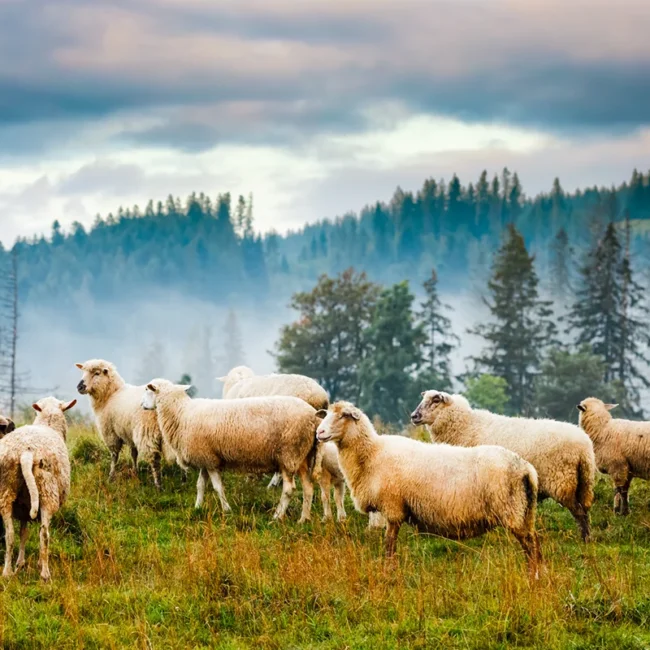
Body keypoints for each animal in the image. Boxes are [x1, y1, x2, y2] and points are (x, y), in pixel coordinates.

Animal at [0, 397, 76, 581]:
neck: (48, 424)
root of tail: (26, 452)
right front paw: (35, 564)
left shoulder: (23, 507)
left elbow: (23, 533)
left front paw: (19, 564)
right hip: (47, 492)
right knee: (44, 534)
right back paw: (45, 574)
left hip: (6, 490)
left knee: (9, 534)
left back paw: (7, 572)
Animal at [76, 359, 174, 489]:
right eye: (83, 372)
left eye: (97, 373)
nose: (79, 387)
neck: (110, 394)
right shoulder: (129, 432)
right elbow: (134, 453)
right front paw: (135, 472)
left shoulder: (110, 433)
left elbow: (114, 456)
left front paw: (111, 477)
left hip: (147, 431)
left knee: (154, 460)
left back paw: (158, 485)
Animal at [142, 379, 323, 522]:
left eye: (148, 390)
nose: (142, 405)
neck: (181, 413)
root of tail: (313, 416)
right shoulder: (206, 458)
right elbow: (200, 485)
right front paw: (197, 507)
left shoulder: (210, 461)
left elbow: (217, 487)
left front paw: (227, 510)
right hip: (303, 456)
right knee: (308, 487)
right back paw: (304, 519)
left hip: (289, 453)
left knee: (289, 489)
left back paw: (277, 517)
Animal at [316, 402, 542, 578]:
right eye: (325, 414)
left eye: (343, 415)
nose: (319, 433)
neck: (372, 453)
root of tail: (526, 468)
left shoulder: (393, 507)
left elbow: (389, 544)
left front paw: (389, 572)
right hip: (525, 511)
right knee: (535, 542)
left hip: (512, 509)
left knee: (530, 545)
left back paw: (533, 577)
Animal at [411, 390, 596, 542]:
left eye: (435, 400)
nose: (414, 416)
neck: (466, 425)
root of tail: (584, 447)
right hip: (583, 481)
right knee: (584, 510)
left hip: (562, 481)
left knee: (579, 512)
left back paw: (585, 540)